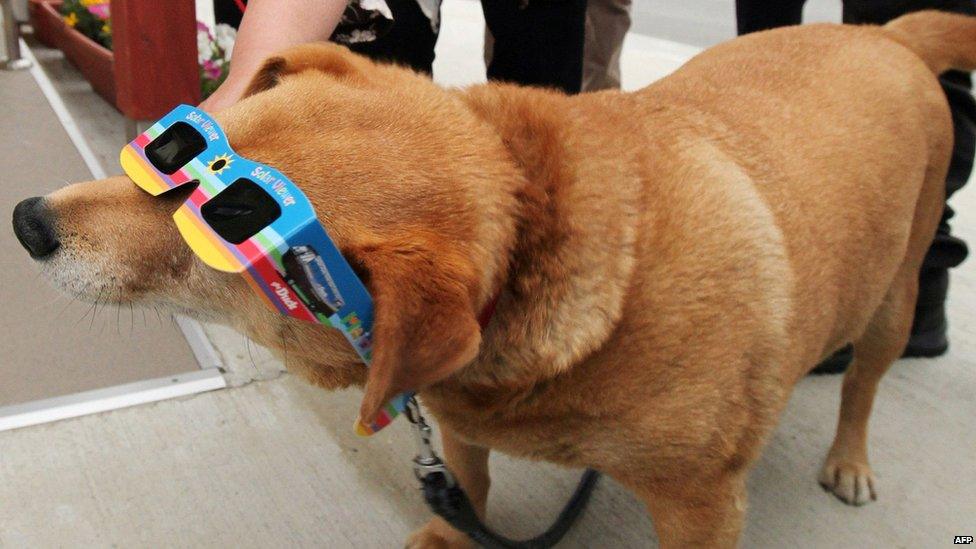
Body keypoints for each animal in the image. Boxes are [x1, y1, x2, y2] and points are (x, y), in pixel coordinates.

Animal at [13, 10, 976, 544]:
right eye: (172, 149)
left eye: (213, 240)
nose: (27, 221)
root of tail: (882, 34)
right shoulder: (458, 419)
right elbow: (469, 486)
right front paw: (450, 530)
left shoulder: (700, 506)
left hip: (894, 298)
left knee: (863, 383)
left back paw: (849, 455)